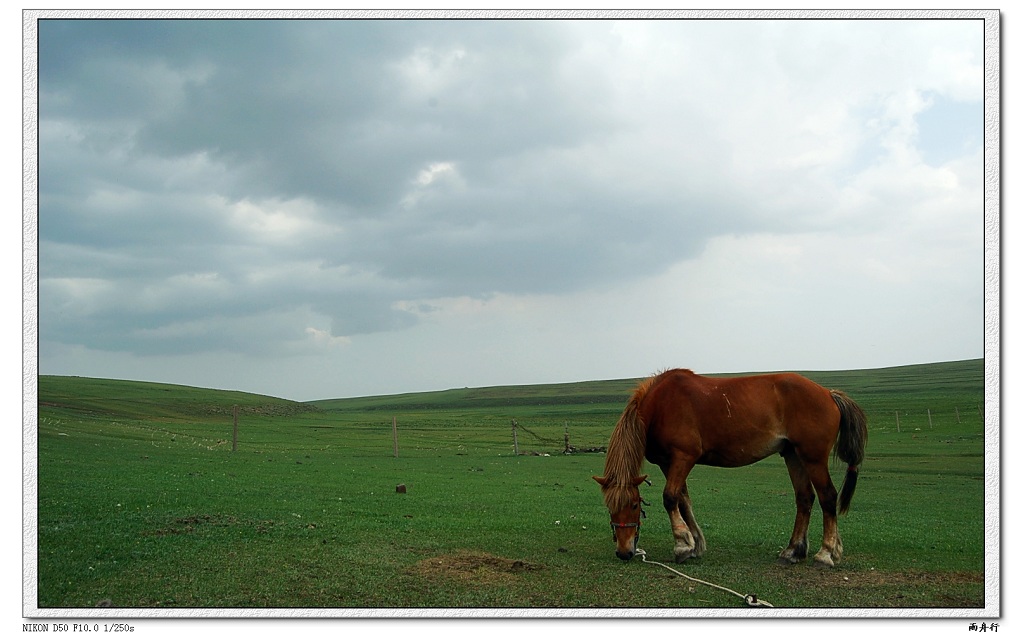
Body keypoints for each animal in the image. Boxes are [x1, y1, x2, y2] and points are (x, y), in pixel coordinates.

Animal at [597, 368, 867, 568]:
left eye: (634, 505)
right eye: (610, 506)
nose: (624, 552)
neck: (659, 407)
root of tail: (829, 394)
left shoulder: (683, 457)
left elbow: (670, 497)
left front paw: (682, 545)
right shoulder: (668, 462)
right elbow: (683, 501)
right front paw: (695, 544)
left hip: (813, 457)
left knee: (827, 497)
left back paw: (825, 553)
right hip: (793, 455)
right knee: (805, 498)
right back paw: (792, 551)